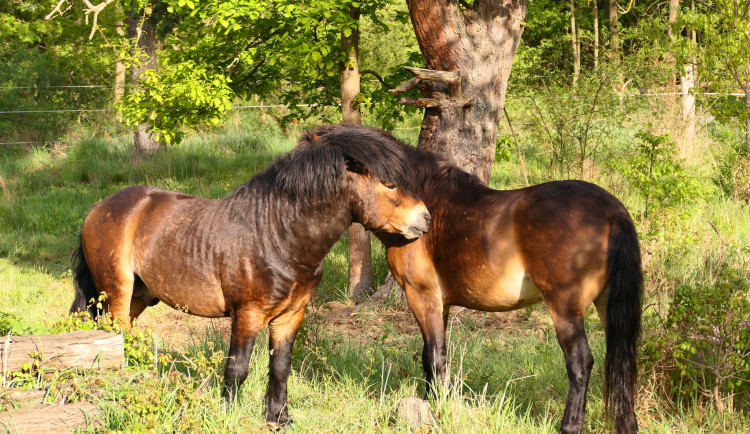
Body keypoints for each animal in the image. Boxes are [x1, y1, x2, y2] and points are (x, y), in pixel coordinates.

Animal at [72, 126, 434, 424]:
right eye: (390, 185)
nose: (426, 218)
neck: (277, 235)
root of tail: (98, 209)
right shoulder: (247, 314)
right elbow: (237, 367)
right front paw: (227, 415)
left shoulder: (290, 315)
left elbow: (280, 367)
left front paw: (278, 418)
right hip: (116, 291)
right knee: (114, 335)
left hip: (139, 296)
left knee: (123, 337)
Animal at [308, 124, 644, 434]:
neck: (425, 200)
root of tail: (612, 211)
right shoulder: (439, 304)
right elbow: (430, 355)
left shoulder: (422, 296)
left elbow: (435, 356)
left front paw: (439, 409)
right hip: (607, 307)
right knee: (623, 362)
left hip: (565, 308)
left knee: (580, 363)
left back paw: (570, 425)